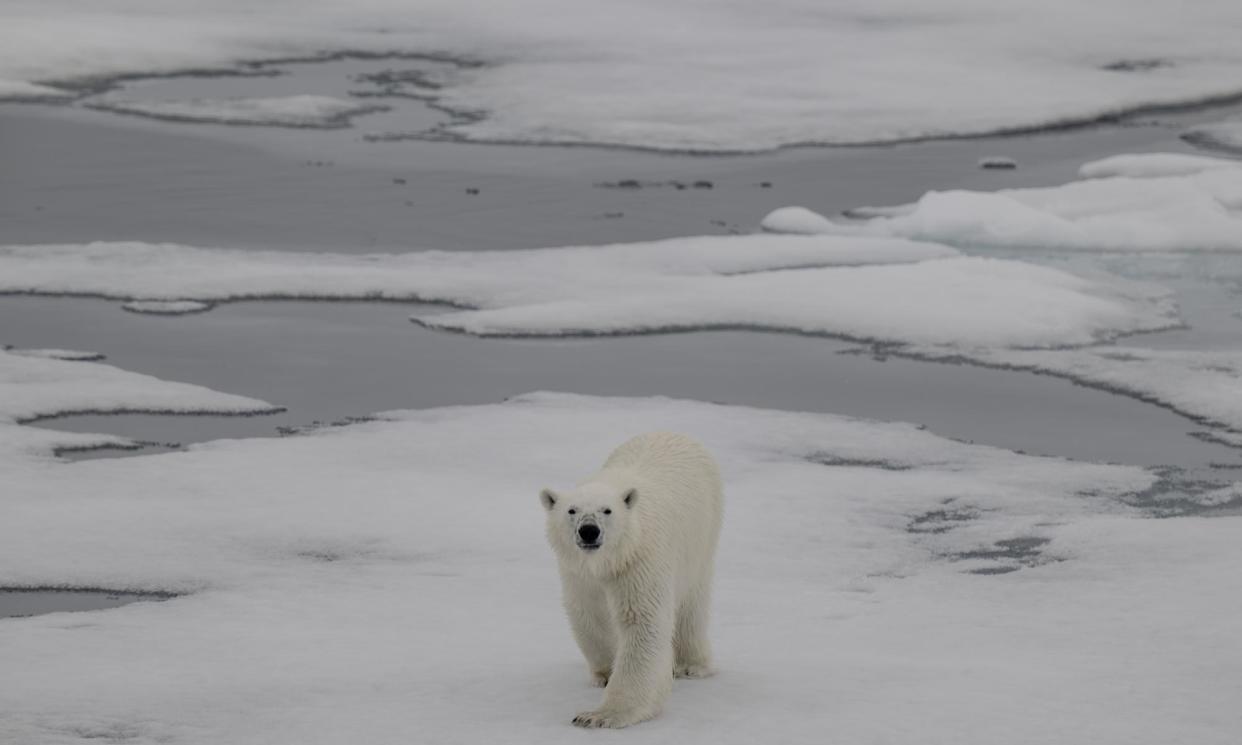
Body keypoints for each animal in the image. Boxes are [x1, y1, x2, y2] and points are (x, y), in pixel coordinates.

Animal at [539, 429, 725, 725]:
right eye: (571, 510)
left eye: (607, 510)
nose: (589, 531)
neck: (608, 561)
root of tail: (673, 433)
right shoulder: (579, 574)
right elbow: (588, 613)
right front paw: (605, 674)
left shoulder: (639, 561)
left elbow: (642, 622)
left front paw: (599, 715)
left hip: (703, 533)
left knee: (691, 601)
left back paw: (691, 664)